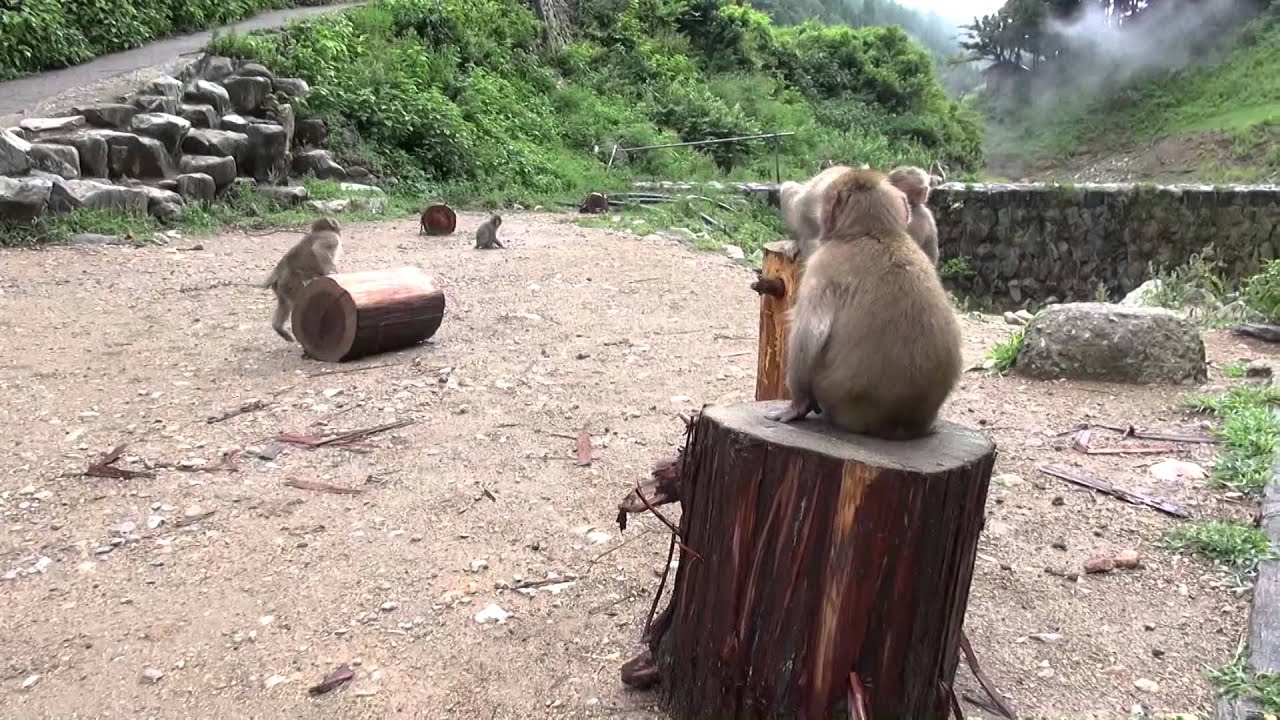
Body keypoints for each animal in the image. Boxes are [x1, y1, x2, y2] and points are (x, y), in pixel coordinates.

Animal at [766, 168, 963, 441]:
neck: (875, 232)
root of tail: (899, 425)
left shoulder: (822, 264)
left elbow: (808, 334)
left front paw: (798, 403)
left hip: (833, 395)